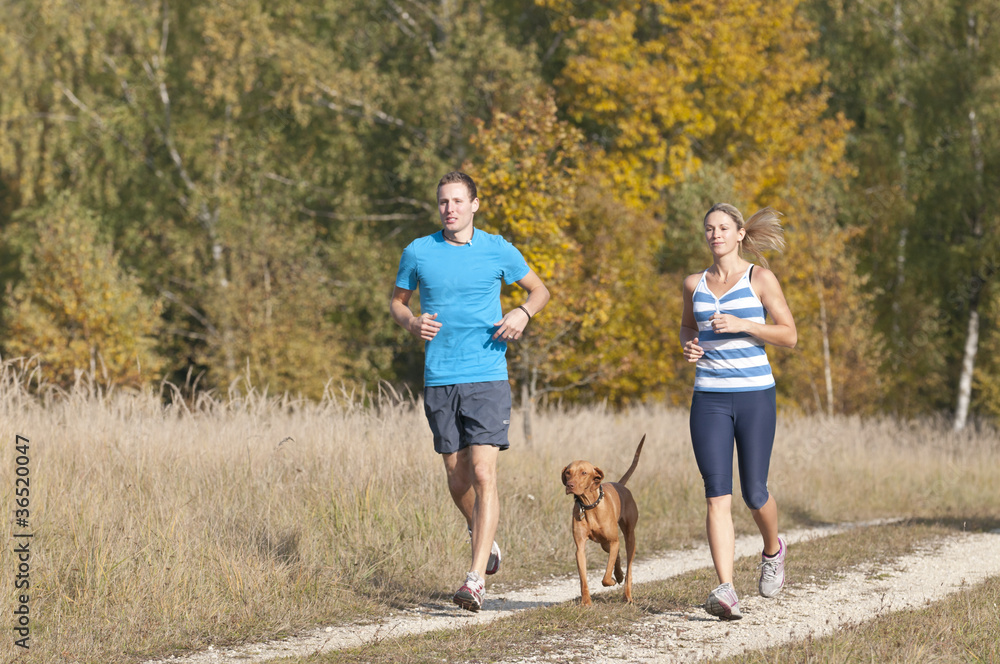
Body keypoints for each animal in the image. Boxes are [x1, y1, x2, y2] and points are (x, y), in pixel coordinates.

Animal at [560, 436, 644, 608]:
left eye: (584, 472)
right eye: (568, 472)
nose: (570, 485)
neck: (589, 505)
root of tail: (619, 484)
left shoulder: (613, 540)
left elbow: (605, 577)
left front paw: (610, 581)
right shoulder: (580, 549)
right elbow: (583, 579)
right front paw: (586, 602)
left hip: (629, 538)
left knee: (628, 568)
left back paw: (627, 595)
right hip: (604, 543)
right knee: (616, 556)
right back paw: (618, 575)